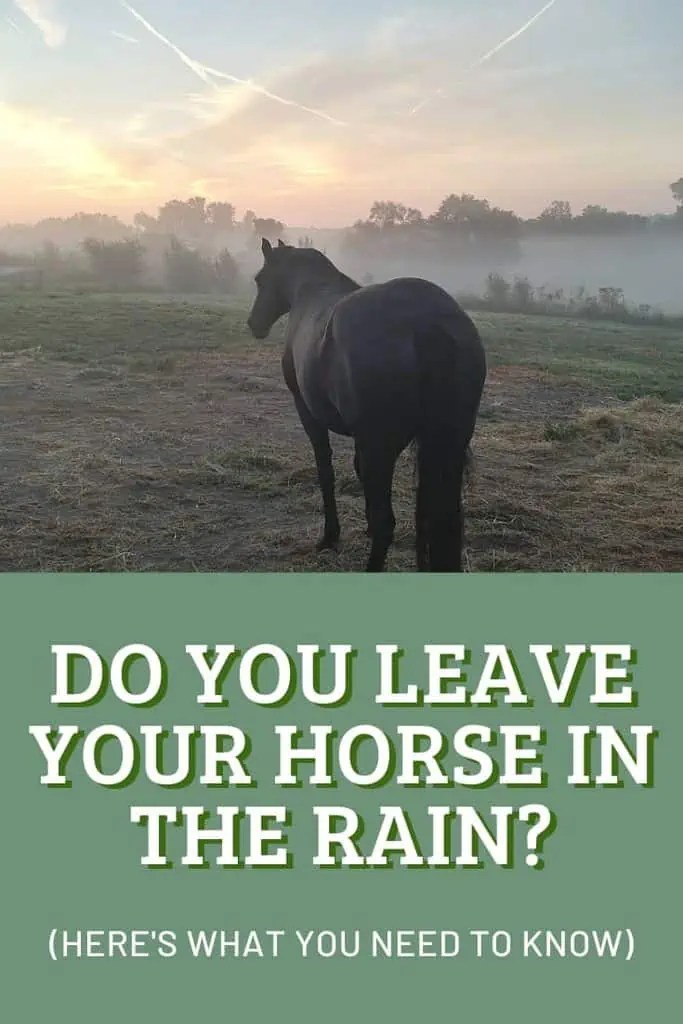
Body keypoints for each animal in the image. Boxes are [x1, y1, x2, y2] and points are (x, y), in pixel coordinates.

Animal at [247, 239, 487, 572]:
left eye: (260, 279)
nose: (253, 324)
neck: (309, 291)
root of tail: (426, 321)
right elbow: (359, 471)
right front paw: (366, 525)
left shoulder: (310, 416)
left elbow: (326, 471)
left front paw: (330, 536)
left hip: (383, 446)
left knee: (389, 522)